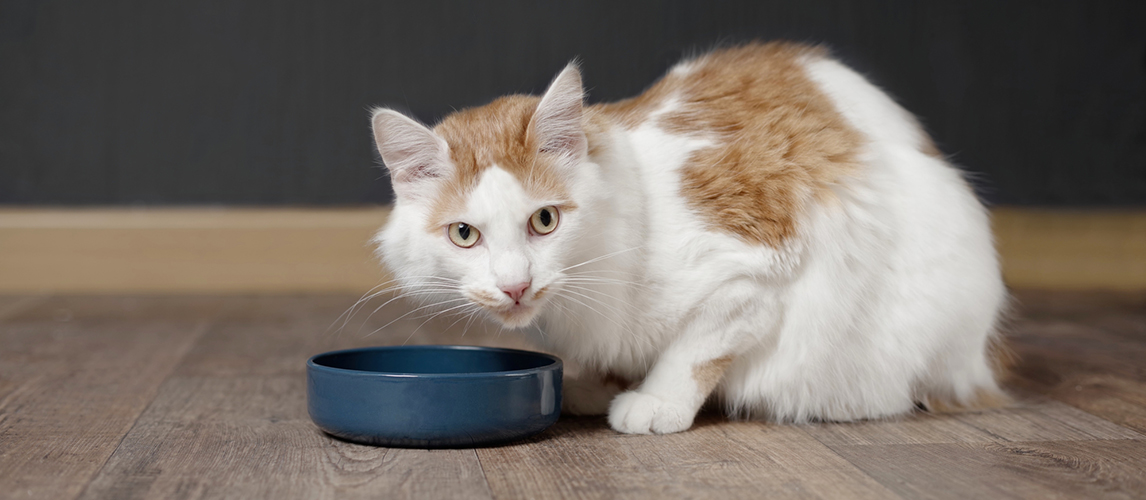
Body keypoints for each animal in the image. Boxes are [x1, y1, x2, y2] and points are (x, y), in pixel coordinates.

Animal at [371, 41, 1008, 433]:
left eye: (545, 221)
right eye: (463, 234)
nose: (514, 286)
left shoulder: (757, 268)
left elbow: (695, 350)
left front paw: (655, 402)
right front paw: (597, 387)